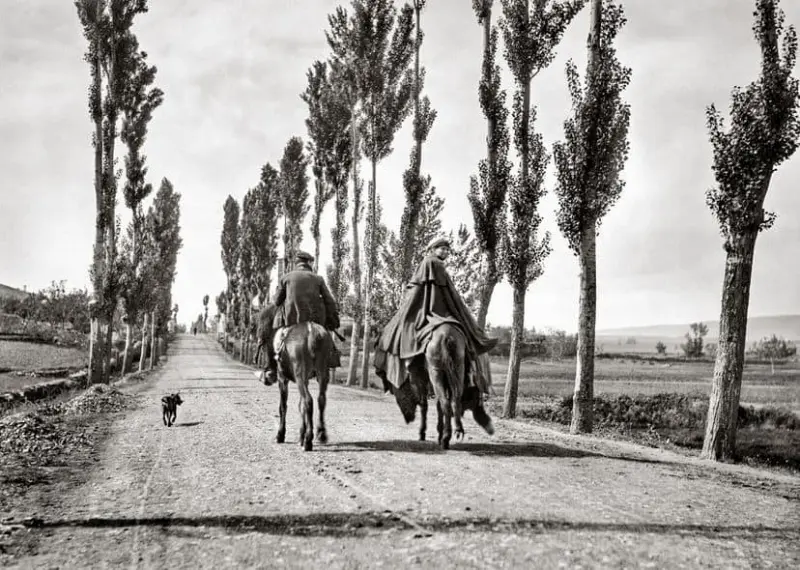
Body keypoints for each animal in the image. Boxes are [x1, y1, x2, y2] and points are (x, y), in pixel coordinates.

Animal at [272, 322, 333, 451]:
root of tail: (313, 331)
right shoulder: (307, 380)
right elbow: (301, 407)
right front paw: (301, 435)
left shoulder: (282, 379)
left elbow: (283, 406)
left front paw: (280, 435)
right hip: (323, 372)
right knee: (321, 400)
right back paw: (321, 433)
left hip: (300, 375)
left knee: (309, 400)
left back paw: (308, 441)